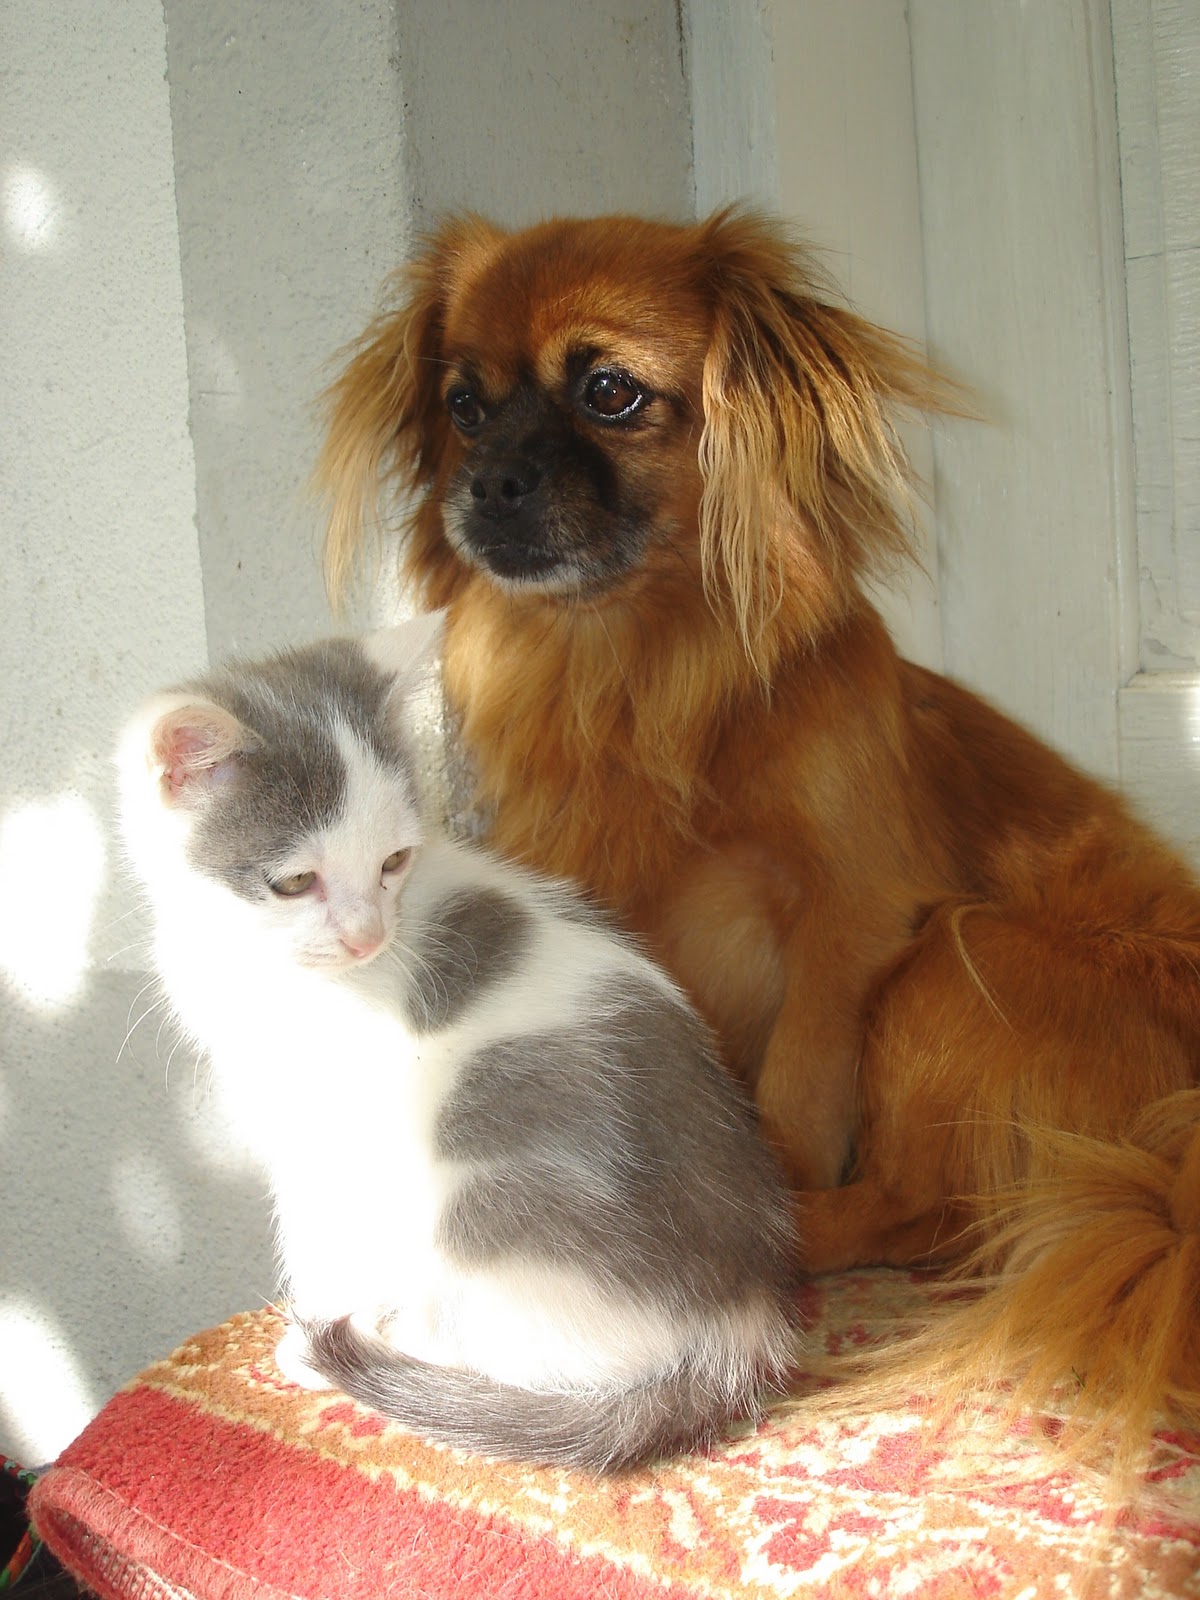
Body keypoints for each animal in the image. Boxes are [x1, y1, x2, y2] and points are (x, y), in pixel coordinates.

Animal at [116, 613, 797, 1471]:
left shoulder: (329, 1122)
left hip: (483, 1196)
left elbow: (319, 1230)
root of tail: (745, 1315)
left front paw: (320, 1322)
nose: (368, 937)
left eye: (392, 862)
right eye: (295, 882)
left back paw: (392, 1349)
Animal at [317, 208, 1200, 1466]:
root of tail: (1170, 1165)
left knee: (929, 1212)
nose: (485, 483)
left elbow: (793, 1094)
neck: (634, 672)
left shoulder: (853, 920)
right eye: (466, 406)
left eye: (609, 389)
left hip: (964, 957)